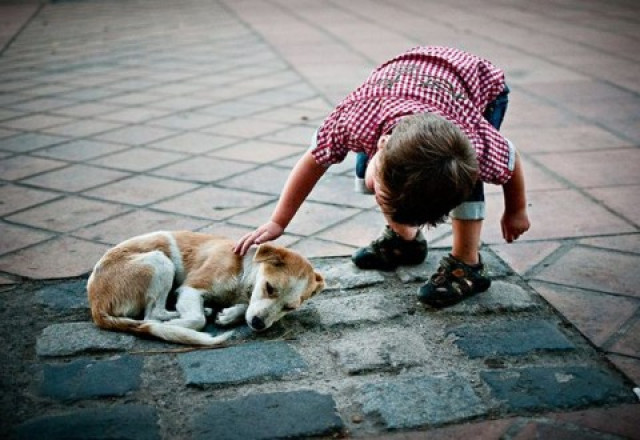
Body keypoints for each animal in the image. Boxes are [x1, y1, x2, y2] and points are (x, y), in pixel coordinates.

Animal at [86, 230, 324, 348]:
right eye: (270, 287)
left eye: (289, 308)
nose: (258, 325)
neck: (243, 269)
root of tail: (96, 305)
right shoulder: (191, 288)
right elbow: (197, 319)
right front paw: (178, 325)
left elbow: (243, 307)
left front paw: (229, 314)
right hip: (159, 261)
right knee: (151, 315)